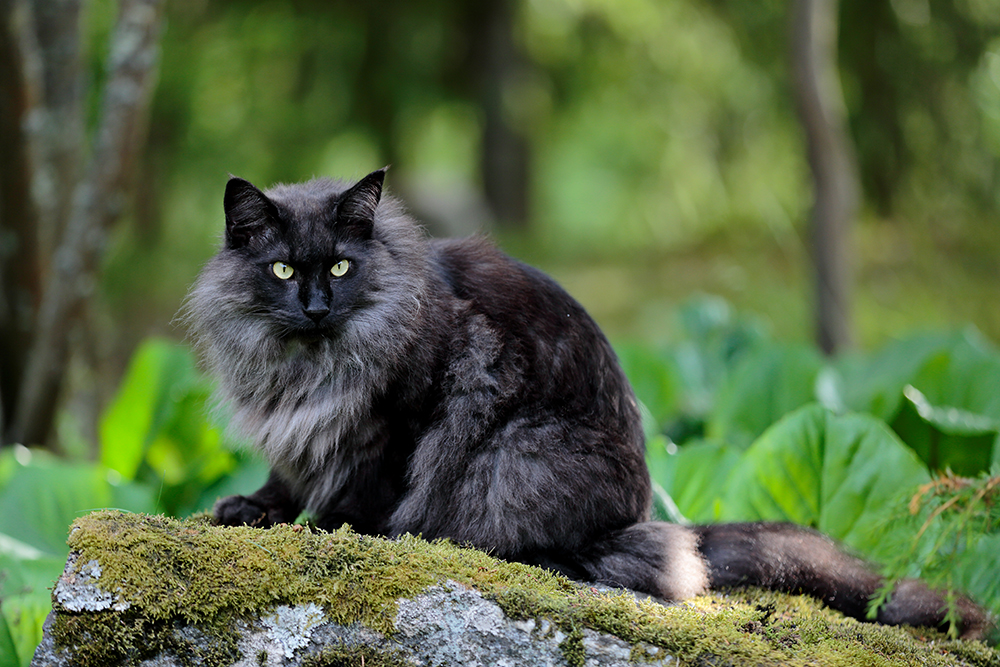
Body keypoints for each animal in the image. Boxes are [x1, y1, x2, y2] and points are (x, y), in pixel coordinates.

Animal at [188, 170, 984, 640]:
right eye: (282, 269)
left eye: (340, 267)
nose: (316, 305)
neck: (308, 366)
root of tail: (648, 515)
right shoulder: (299, 432)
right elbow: (288, 475)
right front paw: (254, 510)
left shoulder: (409, 412)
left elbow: (367, 495)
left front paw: (336, 533)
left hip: (517, 453)